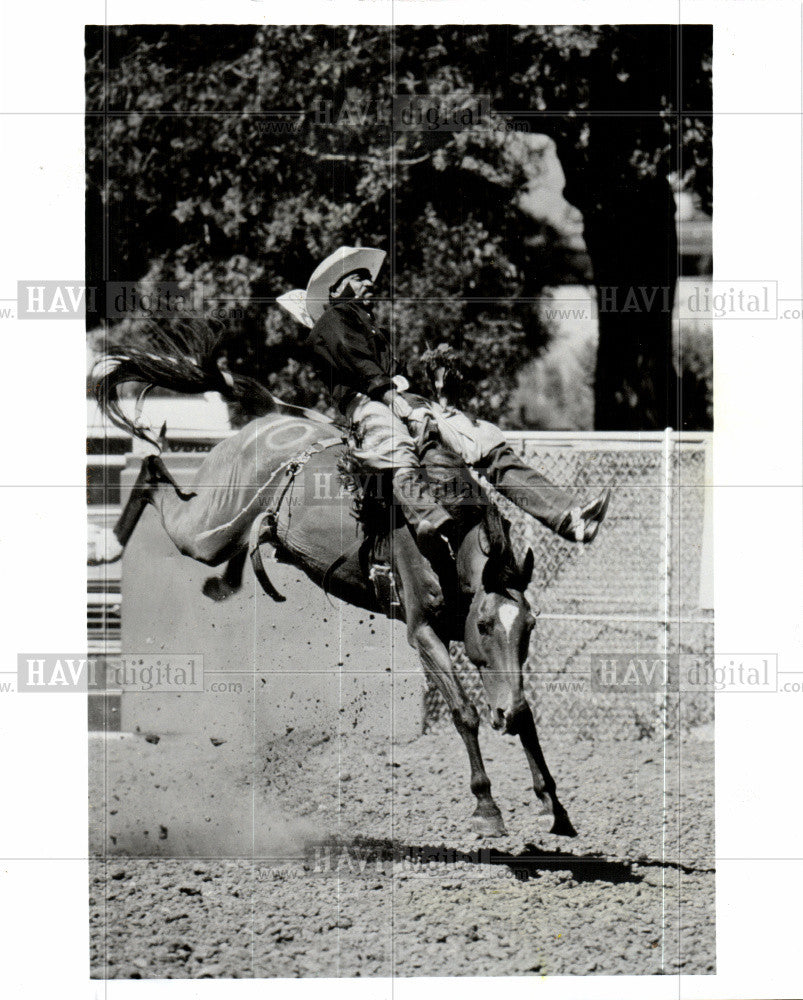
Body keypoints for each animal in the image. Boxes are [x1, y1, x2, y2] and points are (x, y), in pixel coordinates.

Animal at [92, 326, 576, 836]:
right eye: (485, 625)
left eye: (530, 627)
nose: (508, 713)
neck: (449, 534)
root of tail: (264, 420)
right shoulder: (424, 632)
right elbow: (464, 712)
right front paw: (487, 806)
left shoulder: (467, 641)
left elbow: (523, 713)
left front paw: (554, 803)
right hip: (208, 529)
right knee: (152, 473)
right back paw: (109, 541)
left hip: (227, 531)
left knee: (227, 537)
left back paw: (225, 580)